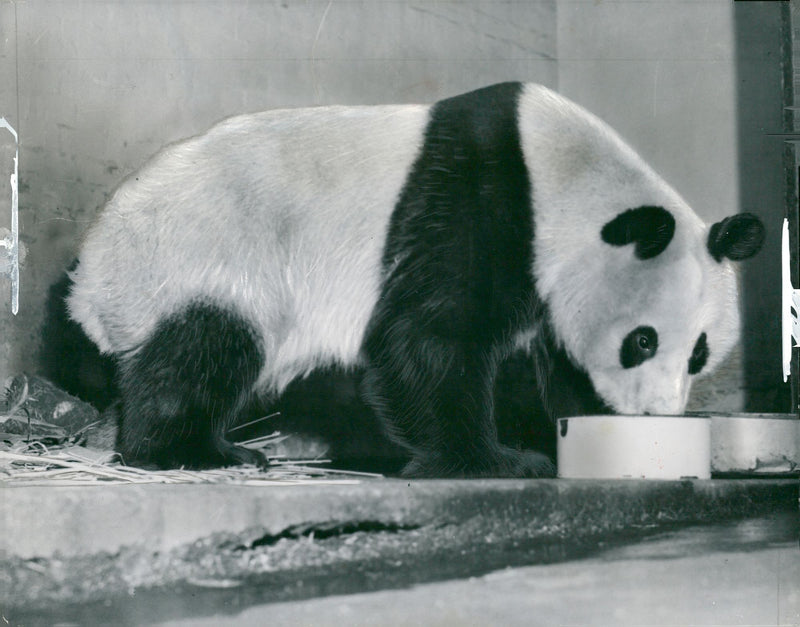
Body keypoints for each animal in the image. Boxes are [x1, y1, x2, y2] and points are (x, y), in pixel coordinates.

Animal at [57, 82, 764, 476]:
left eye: (699, 354)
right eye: (643, 340)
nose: (658, 412)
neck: (561, 183)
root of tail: (88, 281)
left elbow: (555, 363)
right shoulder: (479, 203)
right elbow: (426, 339)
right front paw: (494, 460)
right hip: (206, 256)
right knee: (201, 350)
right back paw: (194, 452)